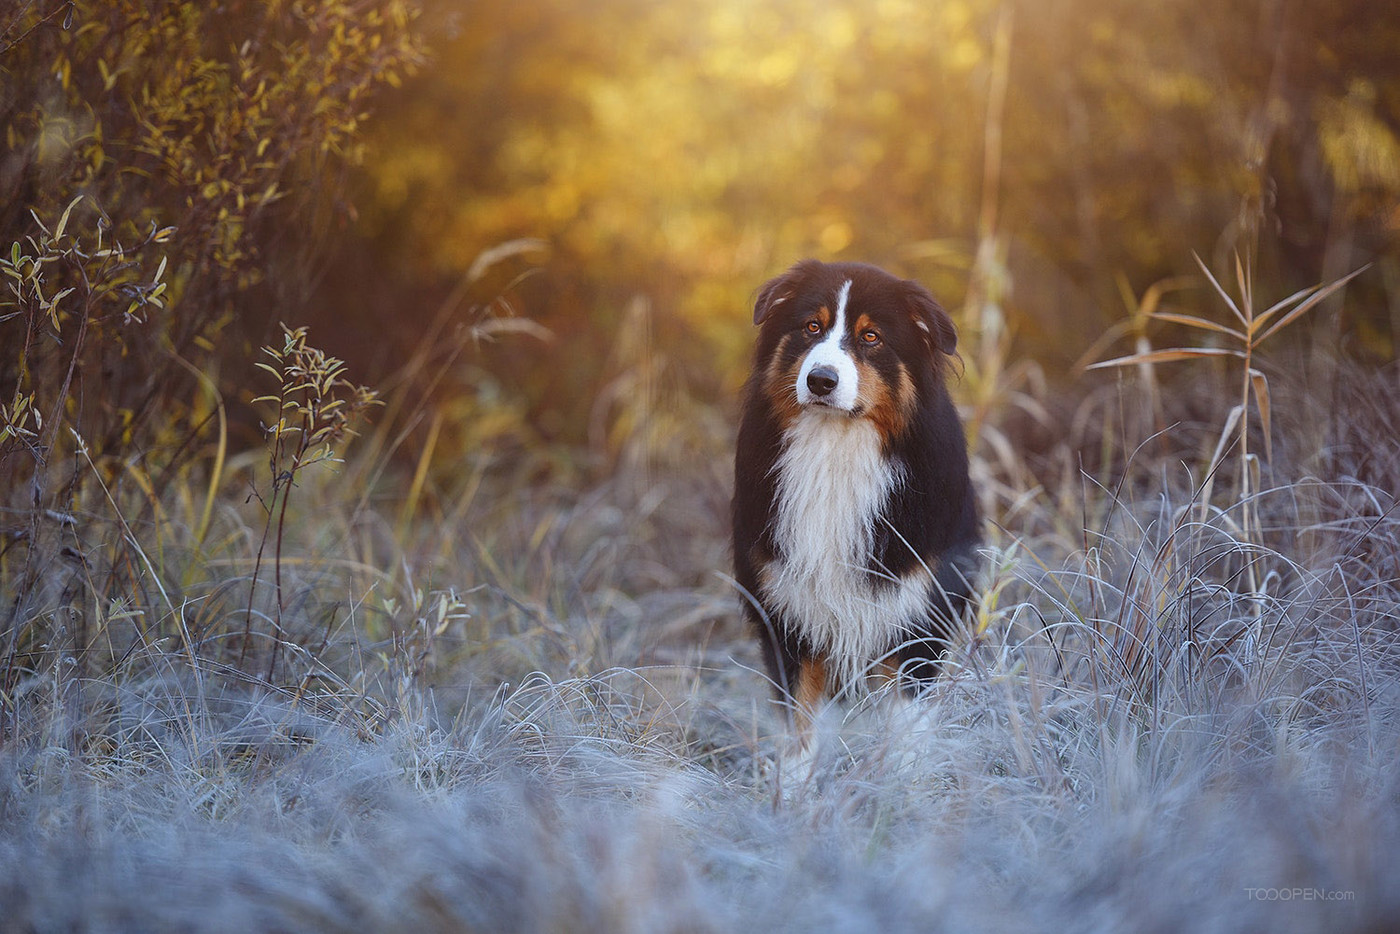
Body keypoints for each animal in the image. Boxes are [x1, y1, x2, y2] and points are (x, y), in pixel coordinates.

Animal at [739, 257, 980, 750]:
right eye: (811, 327)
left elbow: (906, 737)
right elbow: (800, 731)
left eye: (871, 337)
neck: (836, 450)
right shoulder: (789, 617)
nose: (820, 380)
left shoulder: (914, 621)